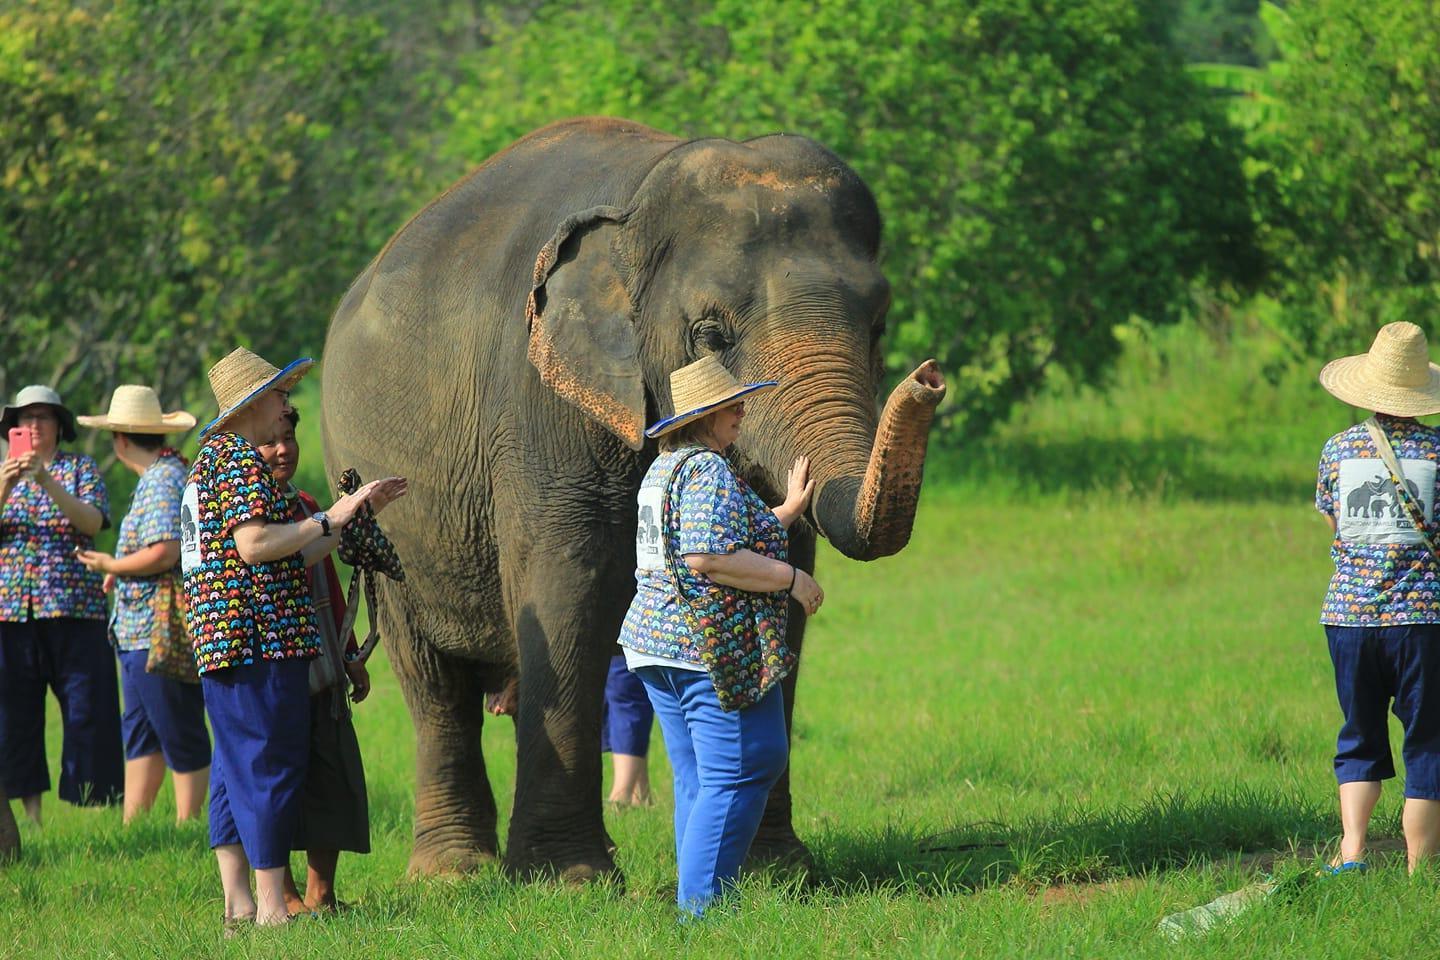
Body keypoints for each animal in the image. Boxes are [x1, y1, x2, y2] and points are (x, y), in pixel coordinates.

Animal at [322, 116, 950, 880]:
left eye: (879, 323)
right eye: (710, 334)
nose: (930, 378)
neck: (638, 201)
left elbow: (780, 583)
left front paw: (779, 873)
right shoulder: (539, 405)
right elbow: (571, 589)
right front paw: (571, 882)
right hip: (379, 511)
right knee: (434, 684)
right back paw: (452, 875)